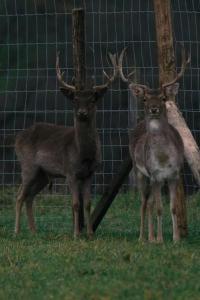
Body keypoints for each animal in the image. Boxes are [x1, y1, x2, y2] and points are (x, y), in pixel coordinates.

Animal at [14, 52, 117, 238]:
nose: (82, 113)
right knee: (19, 196)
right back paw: (17, 231)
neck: (83, 154)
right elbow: (75, 203)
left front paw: (90, 233)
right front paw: (76, 234)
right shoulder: (70, 171)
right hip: (27, 165)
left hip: (42, 174)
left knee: (29, 196)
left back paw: (33, 231)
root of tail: (18, 137)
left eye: (92, 99)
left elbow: (88, 203)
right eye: (75, 99)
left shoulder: (90, 173)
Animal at [118, 48, 190, 243]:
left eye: (164, 98)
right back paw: (143, 237)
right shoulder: (155, 175)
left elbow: (173, 207)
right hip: (139, 171)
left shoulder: (175, 175)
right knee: (144, 203)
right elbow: (158, 208)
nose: (154, 108)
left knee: (149, 202)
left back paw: (150, 237)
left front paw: (176, 239)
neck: (163, 158)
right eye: (144, 99)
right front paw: (160, 239)